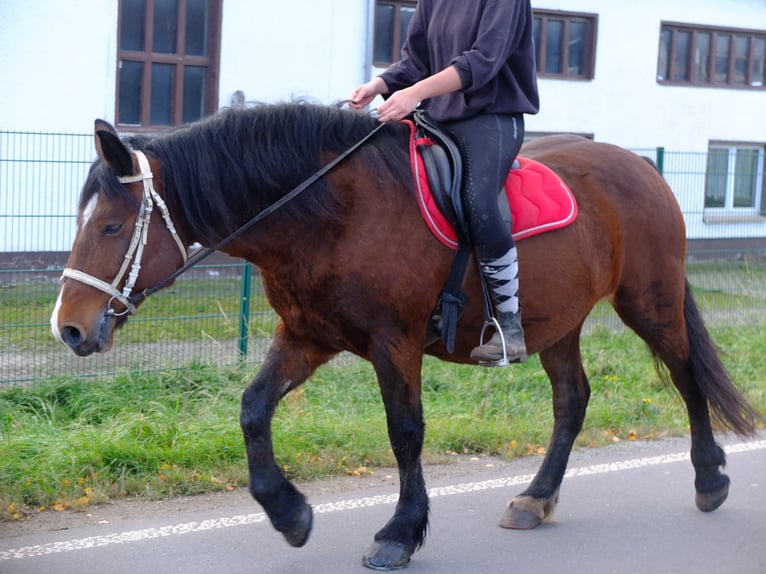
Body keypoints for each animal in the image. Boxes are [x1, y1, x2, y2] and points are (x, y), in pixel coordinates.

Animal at [51, 102, 760, 572]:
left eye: (112, 226)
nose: (69, 327)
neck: (330, 214)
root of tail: (643, 169)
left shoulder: (394, 343)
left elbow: (405, 432)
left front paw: (400, 531)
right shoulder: (307, 335)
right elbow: (253, 408)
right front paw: (289, 513)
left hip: (650, 301)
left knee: (686, 376)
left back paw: (709, 479)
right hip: (557, 322)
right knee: (572, 400)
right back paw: (535, 499)